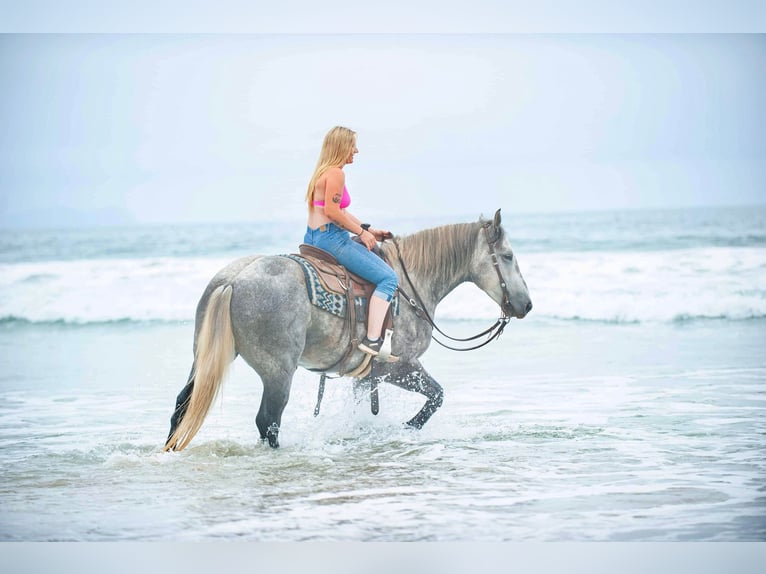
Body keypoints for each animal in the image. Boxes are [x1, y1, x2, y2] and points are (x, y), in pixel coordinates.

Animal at [164, 209, 532, 452]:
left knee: (183, 404)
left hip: (204, 357)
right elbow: (437, 396)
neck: (409, 283)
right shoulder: (400, 366)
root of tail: (235, 279)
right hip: (277, 371)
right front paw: (407, 428)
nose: (526, 305)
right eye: (508, 256)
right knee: (268, 420)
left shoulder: (365, 378)